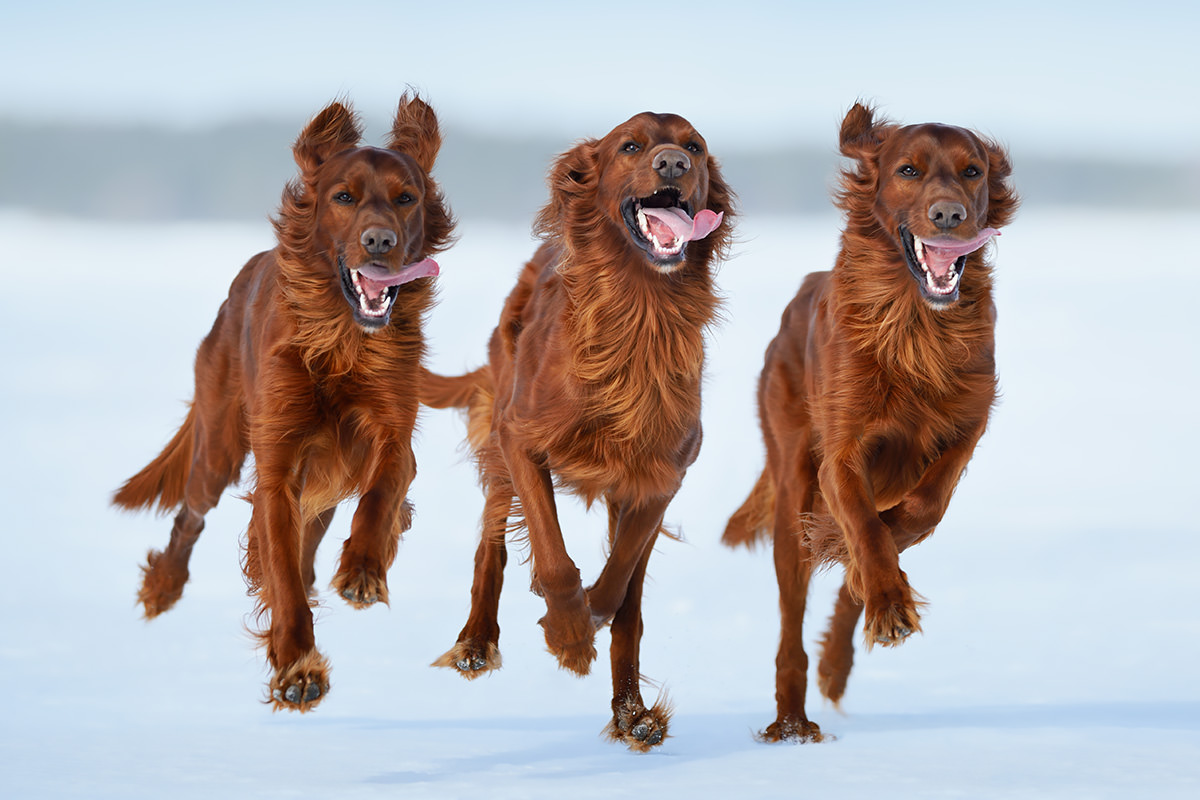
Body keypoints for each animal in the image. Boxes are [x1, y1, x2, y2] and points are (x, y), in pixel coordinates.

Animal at [113, 95, 453, 714]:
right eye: (343, 197)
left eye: (406, 198)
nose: (380, 242)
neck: (341, 340)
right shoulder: (277, 468)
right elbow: (282, 576)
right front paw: (298, 665)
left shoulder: (393, 434)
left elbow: (382, 492)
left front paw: (363, 568)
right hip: (220, 444)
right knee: (191, 515)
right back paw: (161, 587)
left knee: (311, 545)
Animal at [424, 110, 739, 753]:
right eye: (630, 146)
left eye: (695, 146)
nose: (674, 163)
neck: (640, 312)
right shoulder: (521, 439)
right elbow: (553, 558)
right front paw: (568, 635)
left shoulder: (659, 478)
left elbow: (618, 589)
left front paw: (591, 630)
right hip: (501, 439)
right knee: (490, 544)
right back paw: (476, 642)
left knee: (630, 602)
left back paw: (632, 713)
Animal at [720, 103, 1012, 743]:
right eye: (907, 170)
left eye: (973, 171)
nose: (949, 214)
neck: (916, 322)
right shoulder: (842, 453)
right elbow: (863, 528)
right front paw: (885, 594)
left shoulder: (968, 424)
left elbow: (917, 512)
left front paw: (881, 586)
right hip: (792, 488)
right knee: (791, 623)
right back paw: (793, 719)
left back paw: (842, 653)